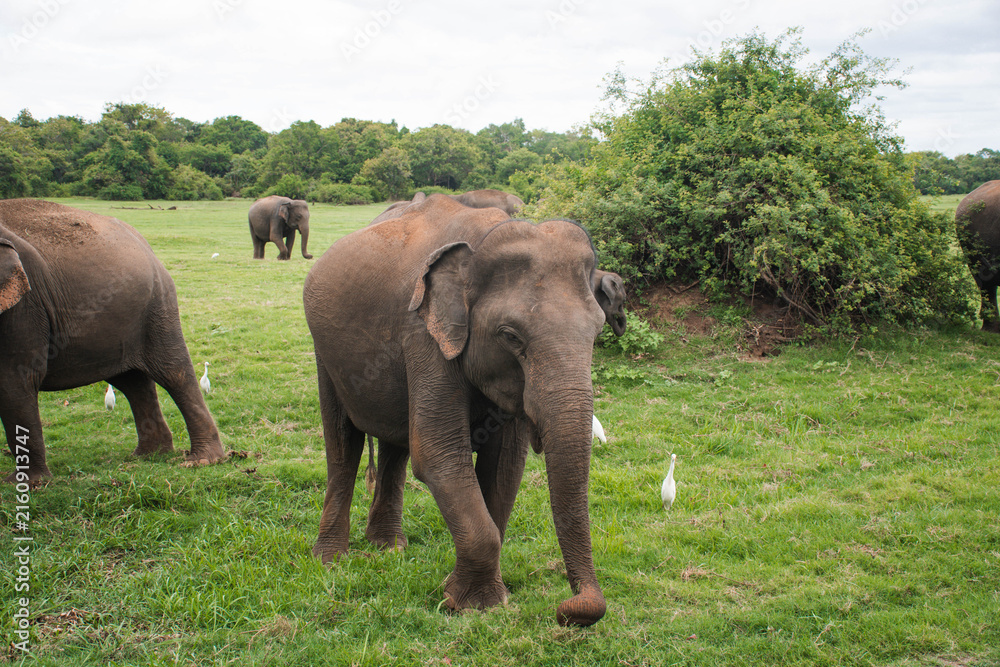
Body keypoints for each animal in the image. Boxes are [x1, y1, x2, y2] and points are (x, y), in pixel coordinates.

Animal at [0, 199, 227, 481]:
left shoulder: (25, 308)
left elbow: (16, 380)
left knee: (173, 373)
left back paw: (201, 460)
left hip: (158, 306)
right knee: (132, 381)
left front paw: (26, 484)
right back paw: (148, 456)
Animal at [303, 194, 609, 626]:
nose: (570, 609)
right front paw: (466, 604)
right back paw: (330, 559)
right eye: (511, 336)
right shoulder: (423, 335)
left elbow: (504, 466)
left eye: (598, 331)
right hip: (324, 352)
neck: (483, 240)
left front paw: (473, 597)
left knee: (396, 446)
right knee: (343, 443)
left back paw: (388, 547)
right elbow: (439, 454)